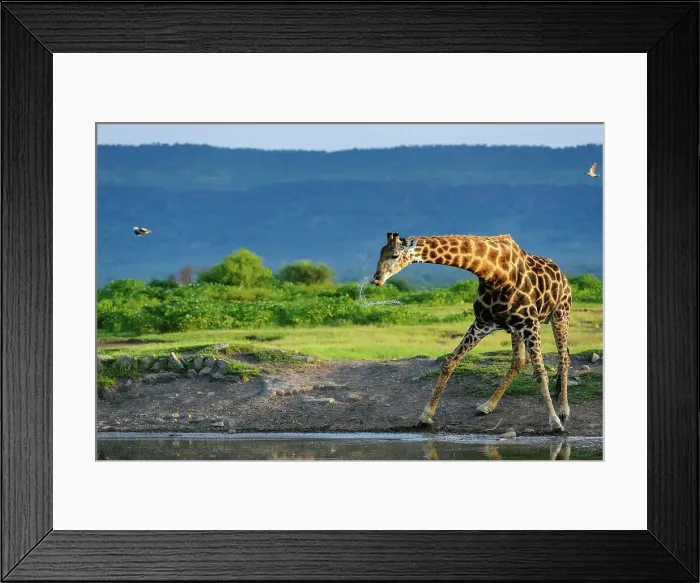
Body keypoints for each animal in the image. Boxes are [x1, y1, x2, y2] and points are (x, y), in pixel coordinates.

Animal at [371, 232, 573, 433]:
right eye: (380, 253)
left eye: (395, 255)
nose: (376, 278)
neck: (492, 273)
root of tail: (563, 275)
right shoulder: (483, 323)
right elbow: (449, 362)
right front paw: (425, 416)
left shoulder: (530, 323)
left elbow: (540, 371)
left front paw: (555, 422)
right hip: (515, 329)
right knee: (518, 361)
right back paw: (487, 406)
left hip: (560, 314)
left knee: (563, 359)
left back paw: (564, 411)